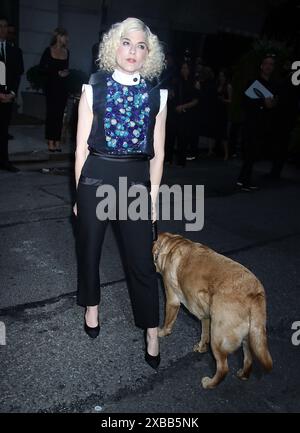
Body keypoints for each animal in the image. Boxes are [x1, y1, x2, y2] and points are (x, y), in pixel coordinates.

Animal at [154, 233, 274, 388]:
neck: (173, 244)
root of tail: (254, 294)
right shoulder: (206, 316)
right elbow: (204, 334)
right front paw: (201, 347)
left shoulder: (172, 300)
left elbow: (168, 322)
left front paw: (161, 333)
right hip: (249, 336)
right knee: (248, 359)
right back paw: (243, 375)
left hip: (218, 338)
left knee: (223, 368)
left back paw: (209, 383)